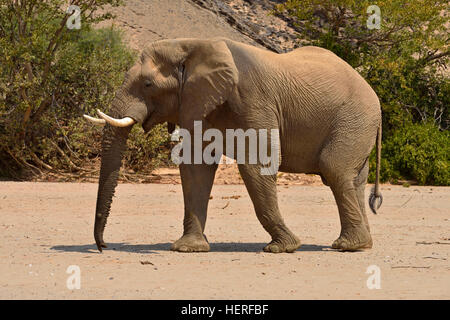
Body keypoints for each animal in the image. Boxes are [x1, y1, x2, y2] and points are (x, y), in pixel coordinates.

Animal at [85, 37, 384, 252]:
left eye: (147, 84)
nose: (103, 246)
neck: (192, 44)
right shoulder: (198, 103)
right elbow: (196, 167)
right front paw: (188, 248)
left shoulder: (253, 99)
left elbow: (256, 166)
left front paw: (283, 247)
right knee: (354, 179)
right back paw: (363, 244)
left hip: (354, 118)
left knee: (334, 169)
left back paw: (347, 245)